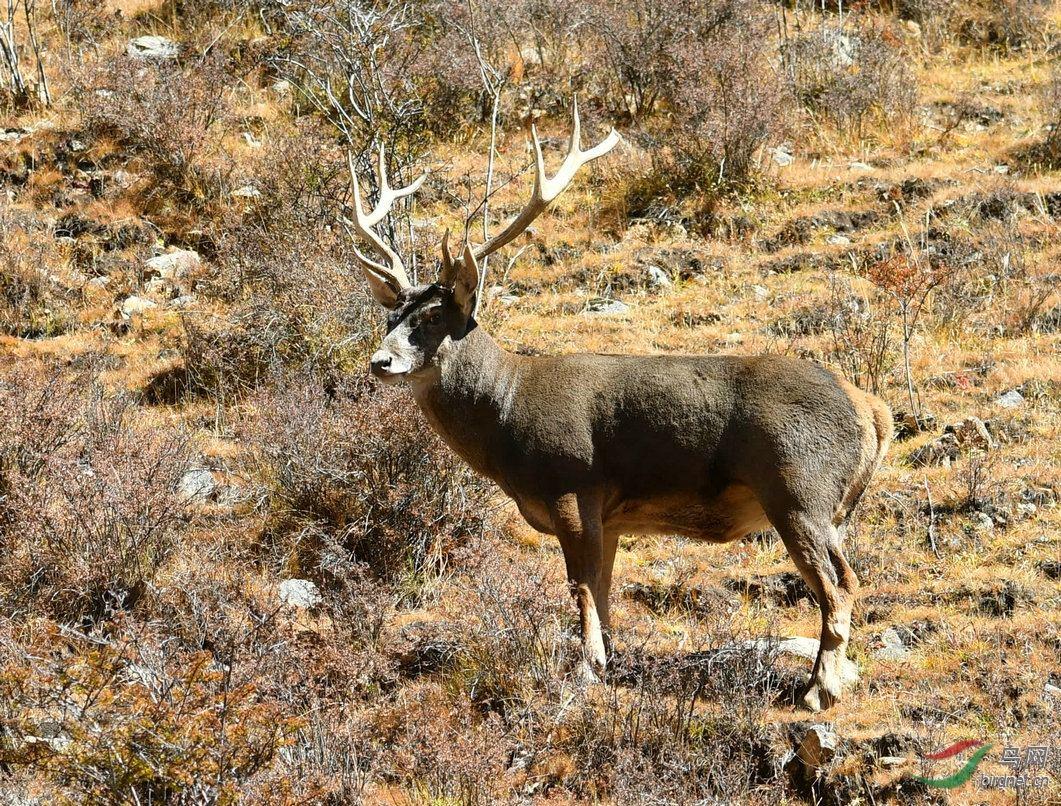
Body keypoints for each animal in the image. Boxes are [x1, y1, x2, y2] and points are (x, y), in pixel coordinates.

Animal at [343, 102, 891, 712]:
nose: (380, 361)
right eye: (391, 317)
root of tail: (873, 411)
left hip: (799, 489)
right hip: (826, 506)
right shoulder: (608, 516)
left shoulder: (571, 485)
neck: (508, 411)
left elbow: (581, 588)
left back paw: (819, 690)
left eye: (434, 318)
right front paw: (605, 663)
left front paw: (587, 669)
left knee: (840, 587)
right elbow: (603, 595)